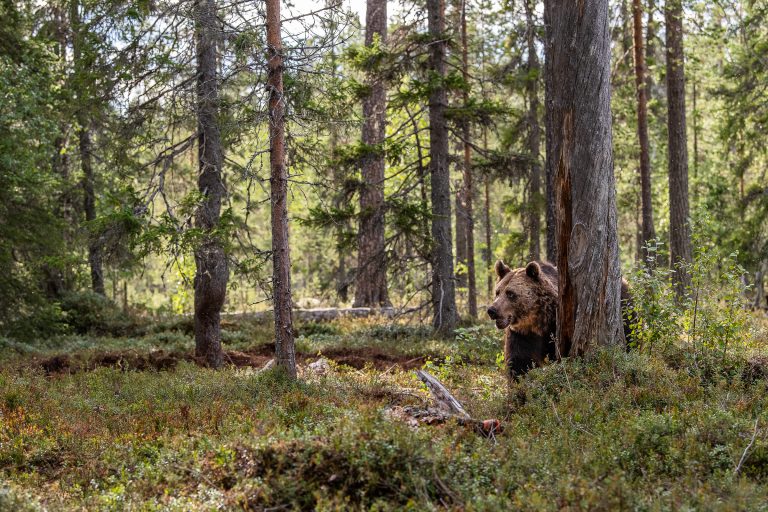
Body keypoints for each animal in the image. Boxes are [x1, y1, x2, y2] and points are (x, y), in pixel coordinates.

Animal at [488, 260, 632, 376]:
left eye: (511, 293)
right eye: (497, 292)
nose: (492, 310)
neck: (538, 321)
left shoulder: (555, 328)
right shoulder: (522, 334)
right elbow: (520, 362)